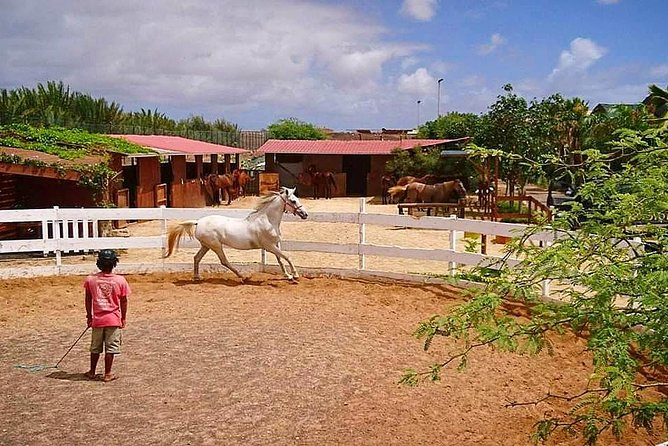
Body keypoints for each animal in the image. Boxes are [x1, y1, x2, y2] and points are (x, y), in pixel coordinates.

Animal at [164, 186, 308, 280]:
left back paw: (197, 277)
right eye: (293, 201)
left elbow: (280, 260)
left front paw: (288, 276)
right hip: (216, 246)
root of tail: (198, 222)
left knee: (197, 258)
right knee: (224, 261)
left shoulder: (275, 245)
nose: (305, 214)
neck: (267, 220)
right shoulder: (269, 246)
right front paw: (295, 275)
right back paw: (242, 276)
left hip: (206, 246)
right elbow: (287, 257)